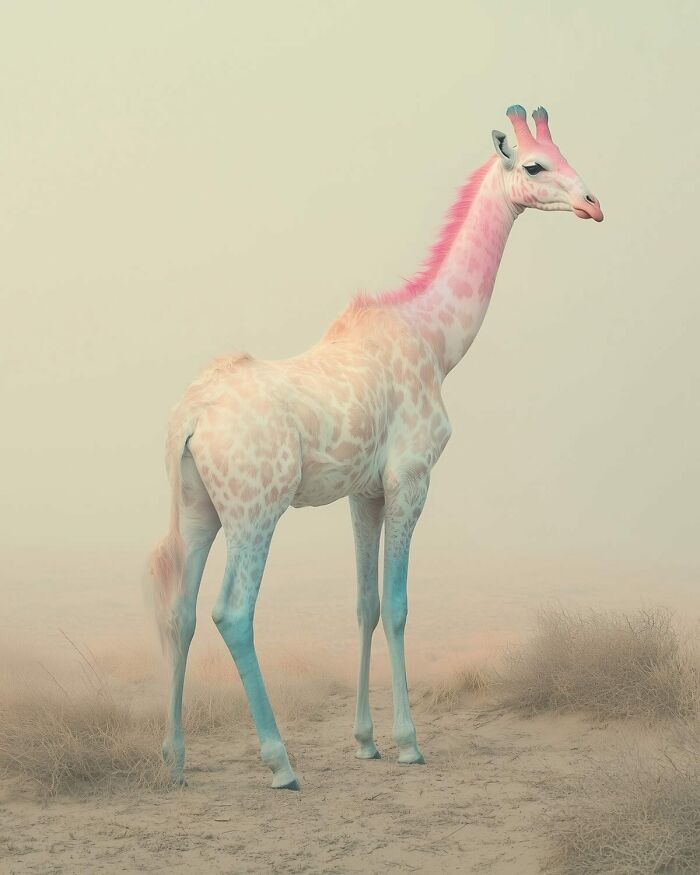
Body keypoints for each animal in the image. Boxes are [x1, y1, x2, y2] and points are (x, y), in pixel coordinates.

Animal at [149, 105, 603, 790]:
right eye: (534, 165)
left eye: (566, 153)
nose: (593, 203)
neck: (438, 341)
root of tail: (190, 420)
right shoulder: (411, 479)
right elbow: (397, 605)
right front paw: (408, 742)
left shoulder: (363, 493)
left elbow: (363, 605)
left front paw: (364, 741)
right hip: (256, 510)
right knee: (231, 611)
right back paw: (280, 762)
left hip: (197, 505)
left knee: (180, 610)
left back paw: (175, 760)